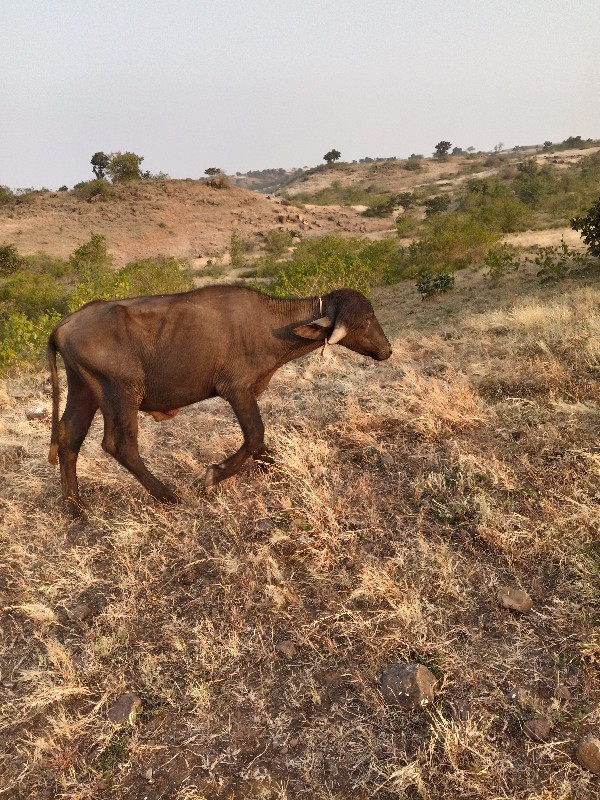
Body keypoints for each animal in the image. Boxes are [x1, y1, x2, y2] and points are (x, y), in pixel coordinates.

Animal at [48, 286, 394, 512]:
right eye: (366, 319)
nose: (387, 350)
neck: (272, 323)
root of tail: (62, 327)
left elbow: (258, 443)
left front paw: (274, 467)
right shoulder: (237, 390)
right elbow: (254, 436)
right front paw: (213, 476)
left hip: (83, 391)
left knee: (69, 437)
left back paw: (75, 506)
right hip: (121, 394)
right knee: (119, 445)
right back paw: (168, 495)